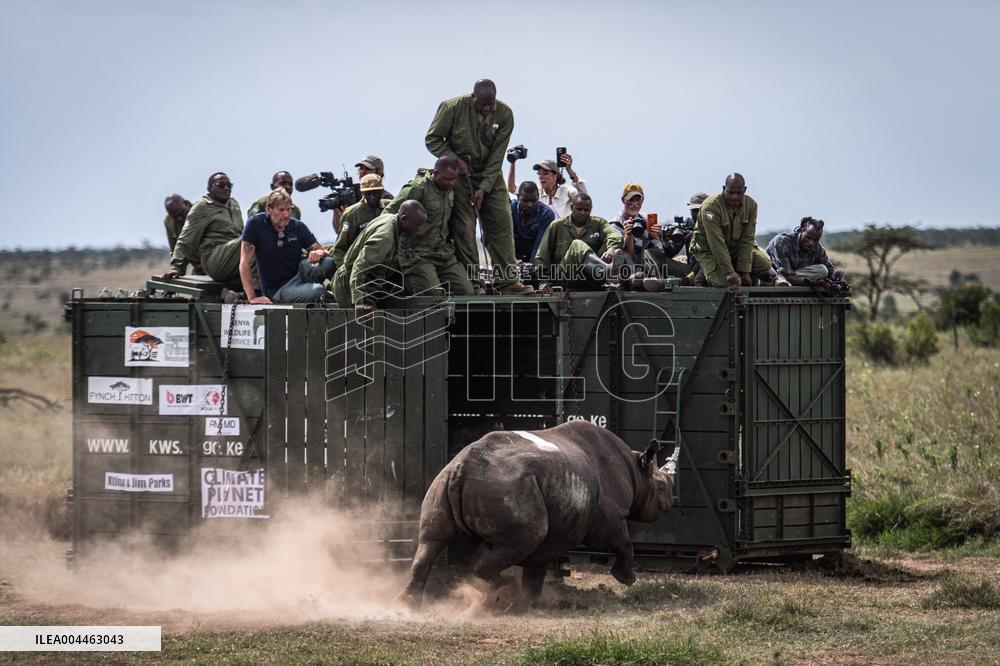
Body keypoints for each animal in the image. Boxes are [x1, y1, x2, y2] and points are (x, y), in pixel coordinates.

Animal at [400, 420, 679, 606]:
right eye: (661, 487)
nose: (669, 505)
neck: (636, 469)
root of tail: (462, 469)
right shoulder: (609, 517)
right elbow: (623, 542)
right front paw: (627, 580)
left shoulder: (561, 523)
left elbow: (538, 562)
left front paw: (532, 601)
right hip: (510, 487)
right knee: (528, 536)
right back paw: (499, 589)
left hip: (443, 481)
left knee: (430, 541)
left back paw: (410, 603)